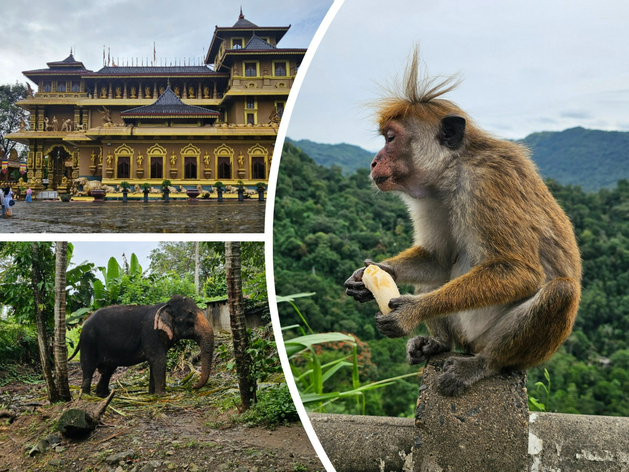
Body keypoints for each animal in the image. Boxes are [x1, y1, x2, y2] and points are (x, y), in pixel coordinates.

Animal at [69, 296, 213, 396]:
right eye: (190, 317)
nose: (193, 386)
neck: (165, 305)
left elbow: (154, 362)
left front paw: (151, 394)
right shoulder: (151, 333)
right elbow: (159, 360)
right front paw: (162, 395)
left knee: (108, 370)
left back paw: (103, 395)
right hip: (89, 342)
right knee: (88, 368)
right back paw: (86, 396)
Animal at [346, 48, 580, 394]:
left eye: (390, 138)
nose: (374, 162)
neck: (453, 171)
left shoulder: (487, 183)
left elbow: (520, 271)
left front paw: (412, 310)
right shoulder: (429, 197)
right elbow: (438, 257)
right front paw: (369, 275)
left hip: (489, 337)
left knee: (560, 292)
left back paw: (484, 364)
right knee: (439, 270)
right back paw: (439, 343)